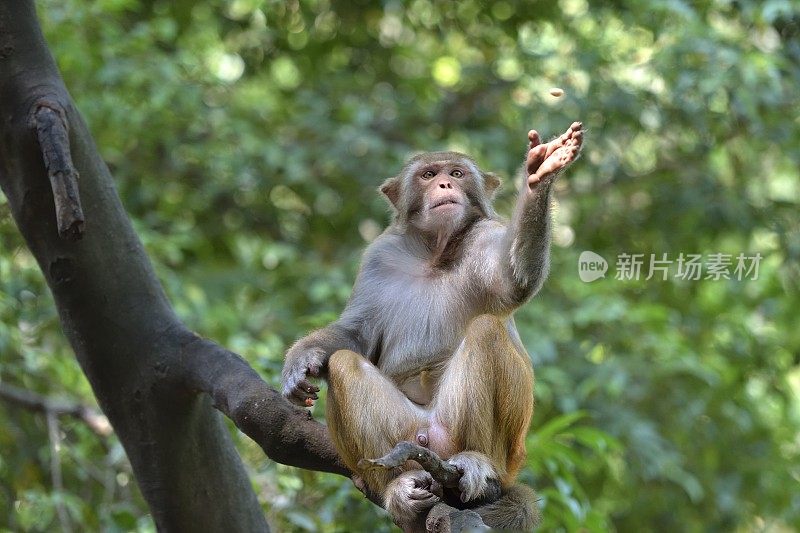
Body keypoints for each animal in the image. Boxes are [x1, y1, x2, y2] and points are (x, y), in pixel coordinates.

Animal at [282, 123, 580, 528]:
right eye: (428, 175)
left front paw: (540, 174)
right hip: (408, 434)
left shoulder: (485, 235)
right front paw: (301, 361)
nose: (444, 184)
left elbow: (514, 279)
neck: (435, 253)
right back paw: (398, 487)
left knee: (487, 332)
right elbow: (354, 334)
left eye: (456, 173)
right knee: (344, 363)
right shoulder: (380, 256)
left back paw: (480, 467)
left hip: (492, 446)